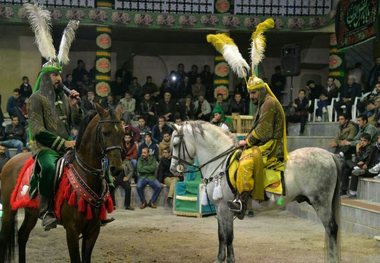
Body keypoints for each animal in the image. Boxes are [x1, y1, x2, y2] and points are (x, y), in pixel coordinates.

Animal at [0, 105, 124, 263]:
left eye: (122, 133)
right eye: (105, 132)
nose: (117, 168)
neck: (86, 174)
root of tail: (10, 161)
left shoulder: (93, 230)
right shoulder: (72, 230)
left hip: (31, 212)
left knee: (22, 236)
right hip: (8, 210)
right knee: (4, 238)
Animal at [170, 121, 342, 263]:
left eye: (176, 144)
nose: (172, 169)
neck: (220, 162)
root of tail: (330, 155)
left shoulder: (225, 207)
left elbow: (228, 236)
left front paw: (229, 260)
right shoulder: (220, 209)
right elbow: (221, 235)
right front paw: (220, 259)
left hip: (321, 202)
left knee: (331, 228)